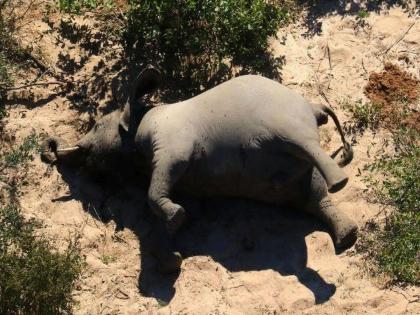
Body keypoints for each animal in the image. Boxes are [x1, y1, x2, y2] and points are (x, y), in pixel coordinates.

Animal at [41, 68, 358, 274]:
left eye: (96, 126)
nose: (50, 148)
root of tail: (314, 107)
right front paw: (171, 255)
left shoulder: (172, 144)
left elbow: (156, 189)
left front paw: (175, 220)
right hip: (293, 173)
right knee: (313, 197)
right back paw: (348, 237)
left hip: (288, 121)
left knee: (305, 149)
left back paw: (340, 184)